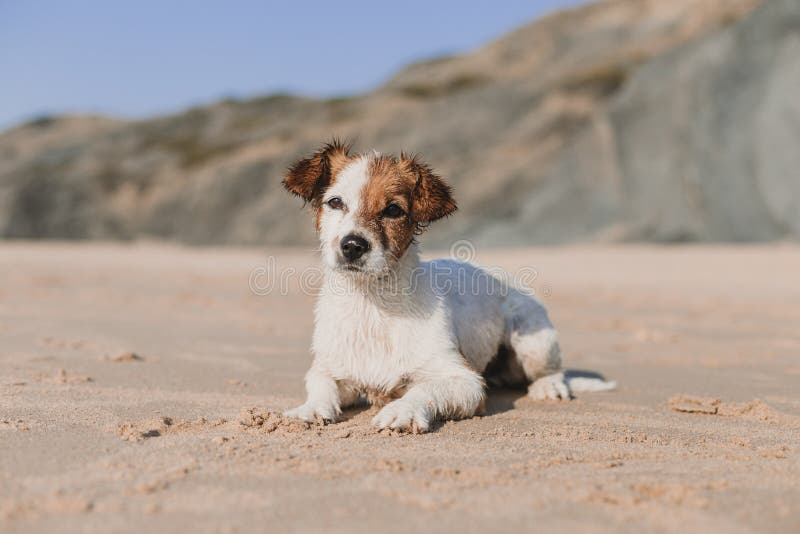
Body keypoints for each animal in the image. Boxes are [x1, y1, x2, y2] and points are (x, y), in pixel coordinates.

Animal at [282, 140, 612, 434]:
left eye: (393, 210)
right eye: (335, 202)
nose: (352, 246)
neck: (373, 306)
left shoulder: (466, 381)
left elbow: (423, 390)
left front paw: (402, 410)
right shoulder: (329, 368)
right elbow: (321, 386)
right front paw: (309, 409)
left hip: (534, 341)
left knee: (552, 371)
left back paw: (548, 386)